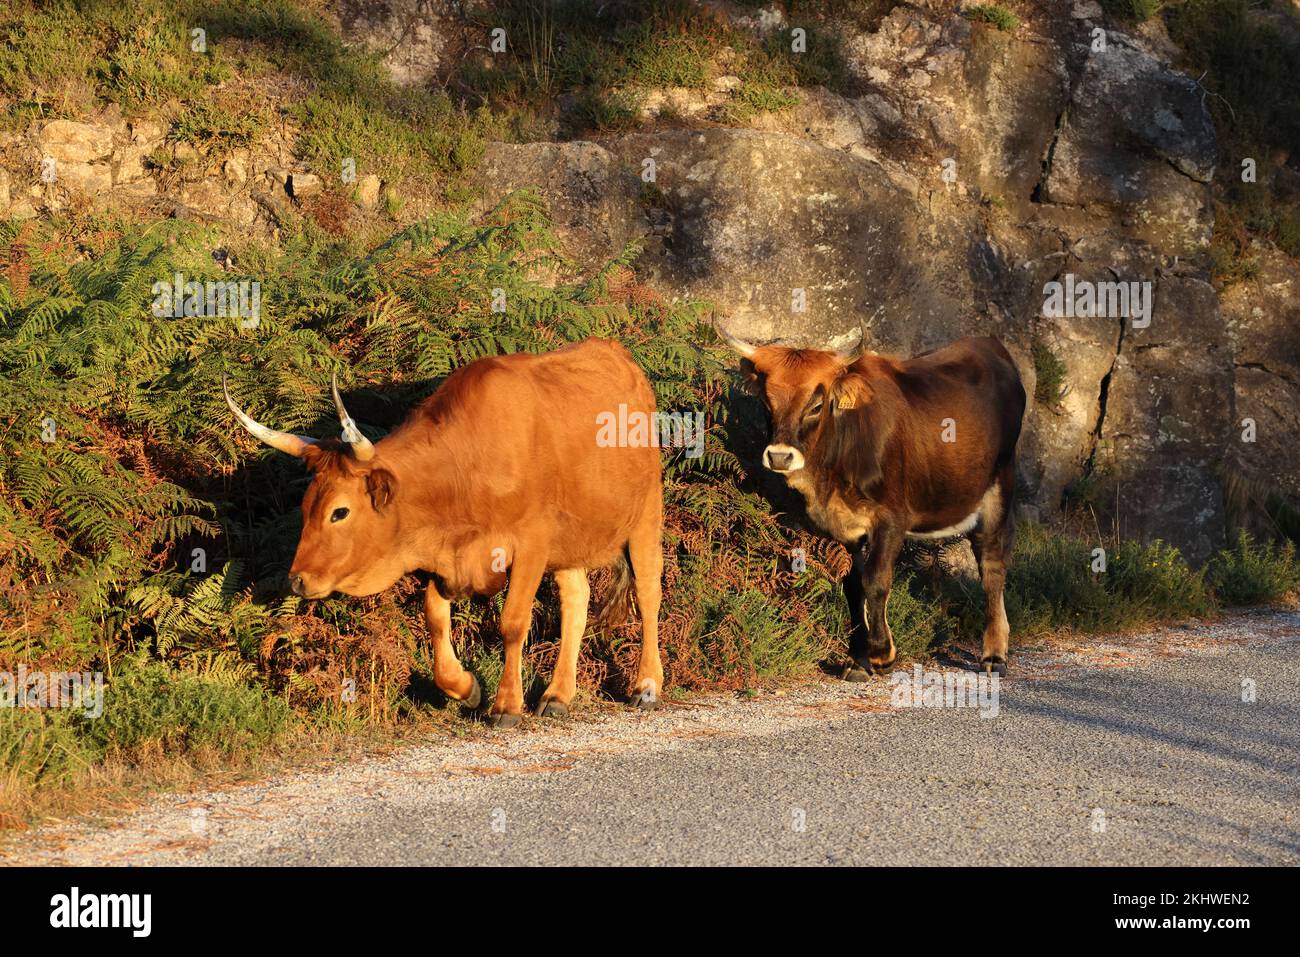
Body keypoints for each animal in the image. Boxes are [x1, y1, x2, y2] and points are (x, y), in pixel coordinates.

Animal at [224, 338, 665, 727]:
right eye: (305, 507)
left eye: (340, 512)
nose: (298, 579)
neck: (465, 465)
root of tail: (618, 356)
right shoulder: (451, 557)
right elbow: (434, 616)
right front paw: (465, 687)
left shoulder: (531, 543)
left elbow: (512, 622)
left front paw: (506, 705)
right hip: (571, 539)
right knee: (577, 599)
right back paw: (557, 696)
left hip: (647, 513)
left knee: (648, 594)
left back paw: (646, 685)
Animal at [715, 323, 1026, 678]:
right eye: (767, 403)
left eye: (816, 405)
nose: (780, 456)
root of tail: (989, 346)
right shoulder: (840, 525)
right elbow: (852, 585)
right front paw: (856, 658)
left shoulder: (891, 519)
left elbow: (876, 580)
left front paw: (881, 654)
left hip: (1000, 487)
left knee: (991, 564)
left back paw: (994, 654)